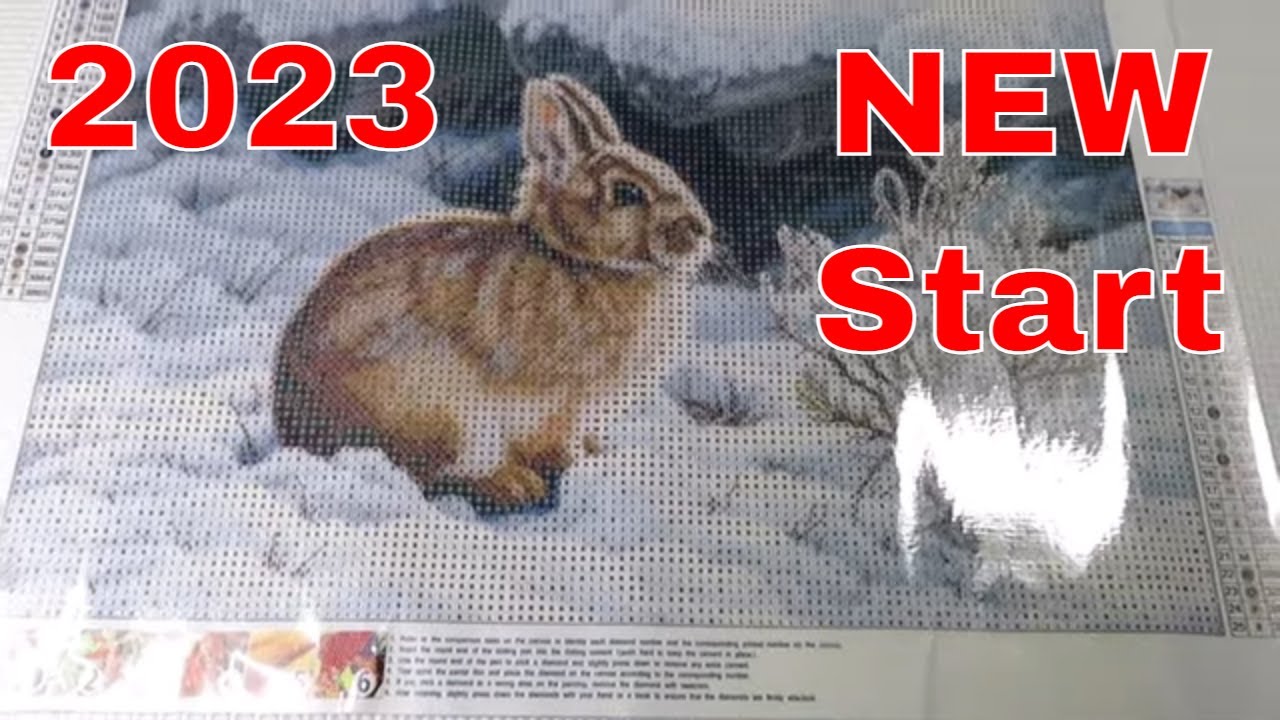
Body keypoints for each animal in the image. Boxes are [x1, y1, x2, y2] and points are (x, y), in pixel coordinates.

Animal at [272, 74, 714, 512]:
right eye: (627, 194)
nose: (701, 230)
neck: (579, 262)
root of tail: (296, 427)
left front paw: (600, 456)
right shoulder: (562, 402)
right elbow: (555, 445)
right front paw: (576, 469)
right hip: (441, 410)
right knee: (435, 474)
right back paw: (512, 485)